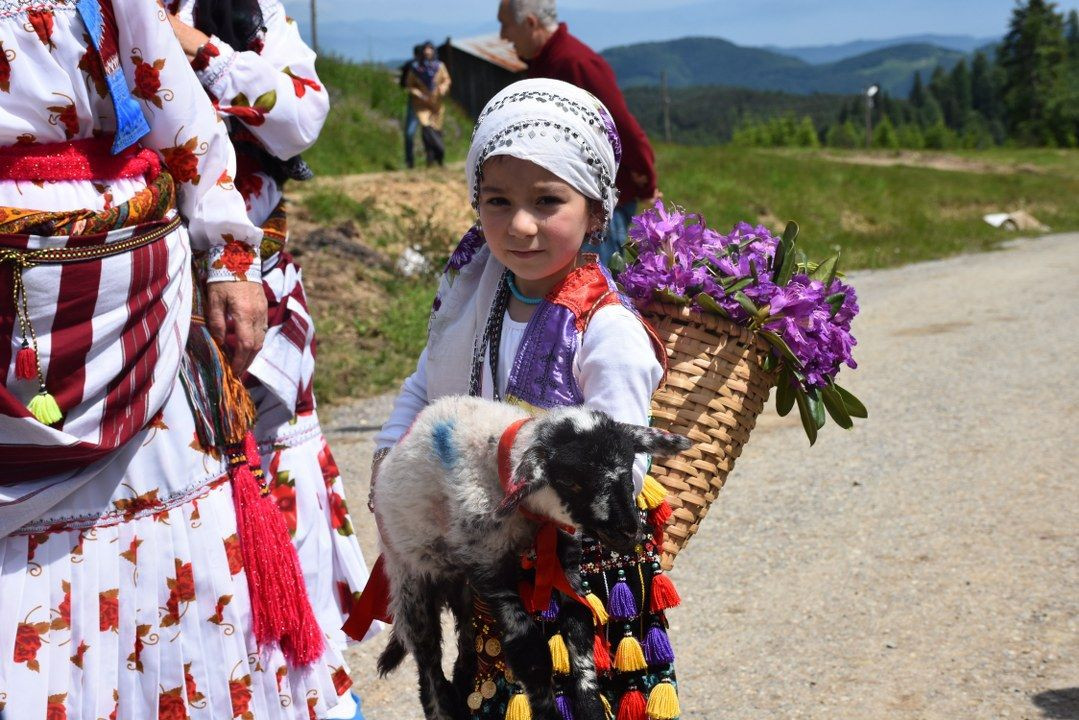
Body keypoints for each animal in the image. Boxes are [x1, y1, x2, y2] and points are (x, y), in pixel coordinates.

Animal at [371, 397, 690, 716]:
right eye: (570, 482)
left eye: (628, 467)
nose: (629, 532)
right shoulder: (488, 568)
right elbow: (529, 653)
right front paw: (546, 711)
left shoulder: (566, 562)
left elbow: (580, 630)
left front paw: (590, 708)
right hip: (411, 583)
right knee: (428, 666)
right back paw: (442, 706)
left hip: (461, 589)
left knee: (465, 645)